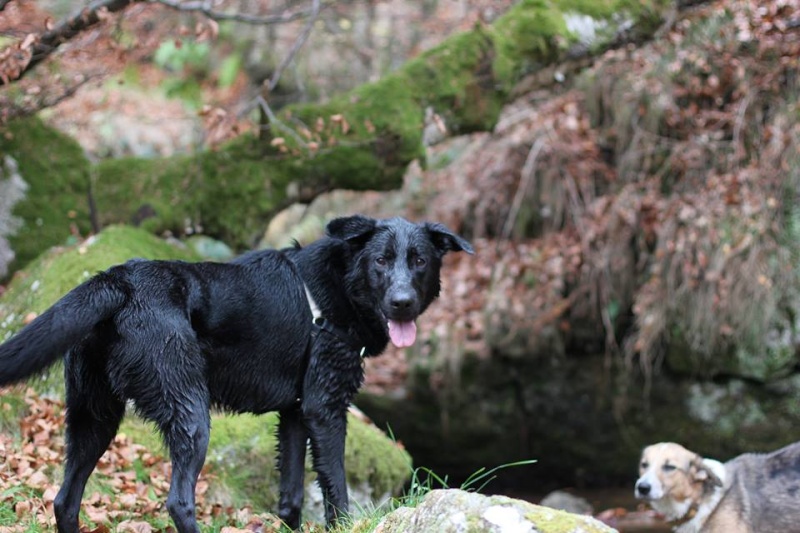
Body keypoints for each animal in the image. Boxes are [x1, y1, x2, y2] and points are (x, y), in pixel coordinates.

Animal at [0, 214, 476, 528]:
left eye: (419, 261)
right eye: (381, 260)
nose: (402, 303)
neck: (338, 288)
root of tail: (119, 280)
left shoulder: (295, 414)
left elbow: (291, 497)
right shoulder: (325, 409)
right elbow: (336, 493)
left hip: (94, 417)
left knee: (65, 500)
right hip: (190, 413)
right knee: (179, 502)